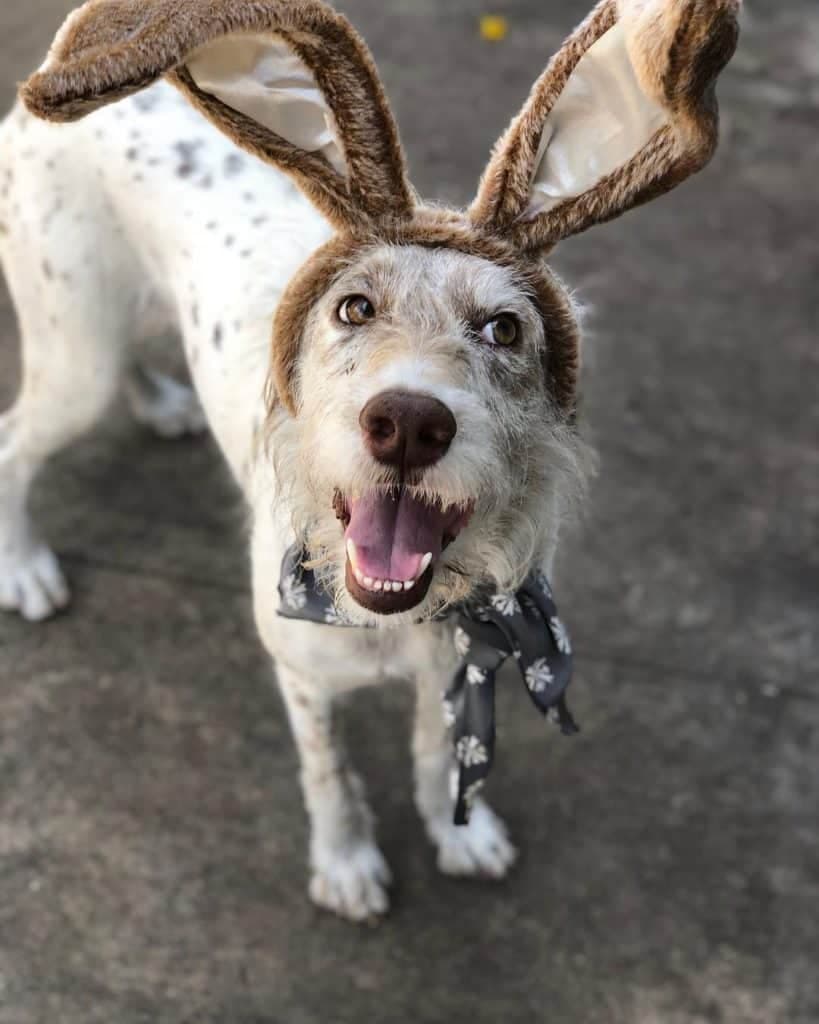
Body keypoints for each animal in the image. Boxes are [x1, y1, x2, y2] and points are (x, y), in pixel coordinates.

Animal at [0, 0, 737, 921]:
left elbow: (436, 752)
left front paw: (461, 832)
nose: (409, 424)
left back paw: (161, 404)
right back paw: (24, 567)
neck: (394, 615)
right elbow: (330, 775)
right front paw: (346, 863)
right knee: (14, 443)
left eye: (504, 328)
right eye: (352, 307)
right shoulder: (304, 678)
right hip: (76, 357)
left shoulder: (454, 664)